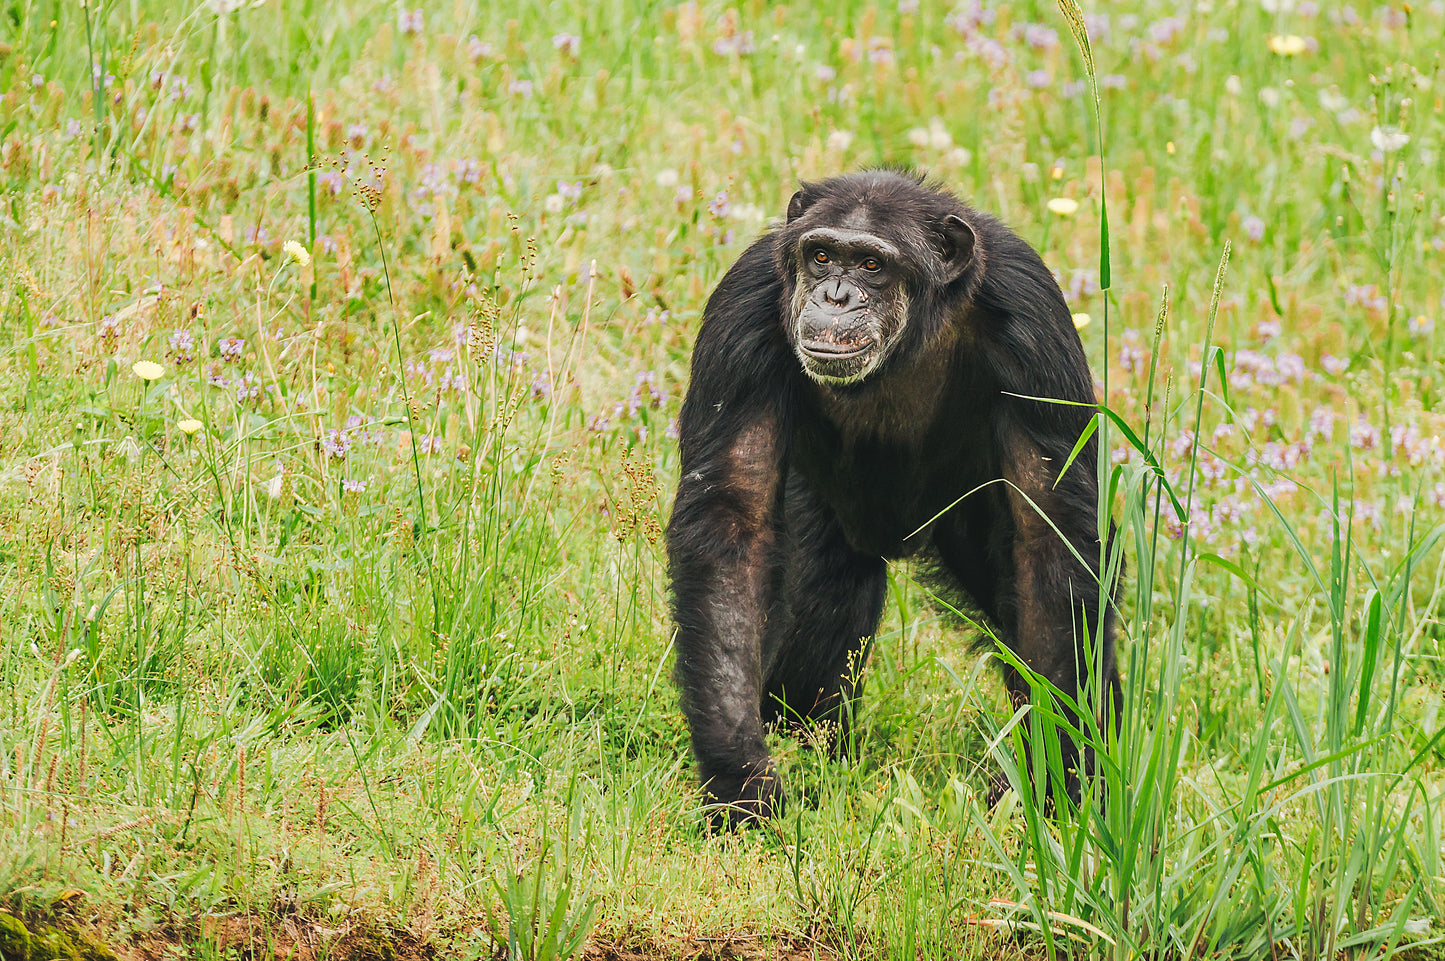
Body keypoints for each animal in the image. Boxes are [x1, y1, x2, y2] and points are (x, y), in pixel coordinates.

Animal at [664, 166, 1115, 826]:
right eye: (822, 255)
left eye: (873, 264)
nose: (836, 295)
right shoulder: (743, 304)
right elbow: (733, 515)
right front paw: (739, 776)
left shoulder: (1034, 320)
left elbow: (1050, 535)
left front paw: (1052, 778)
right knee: (825, 601)